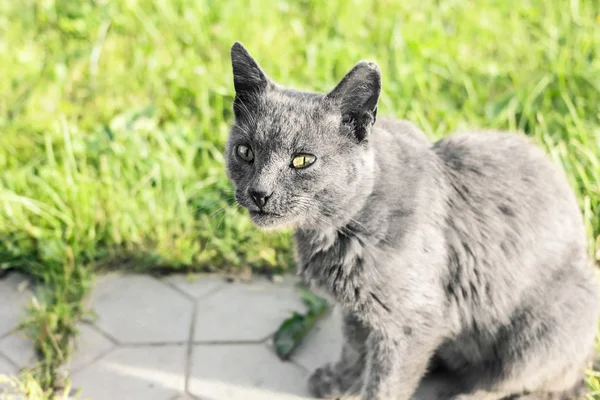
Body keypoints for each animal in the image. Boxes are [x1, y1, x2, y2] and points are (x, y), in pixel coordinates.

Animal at [224, 42, 596, 398]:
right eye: (245, 152)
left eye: (303, 160)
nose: (259, 192)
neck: (340, 229)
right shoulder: (356, 309)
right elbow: (353, 347)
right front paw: (340, 381)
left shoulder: (410, 324)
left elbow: (385, 383)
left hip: (538, 333)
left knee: (524, 382)